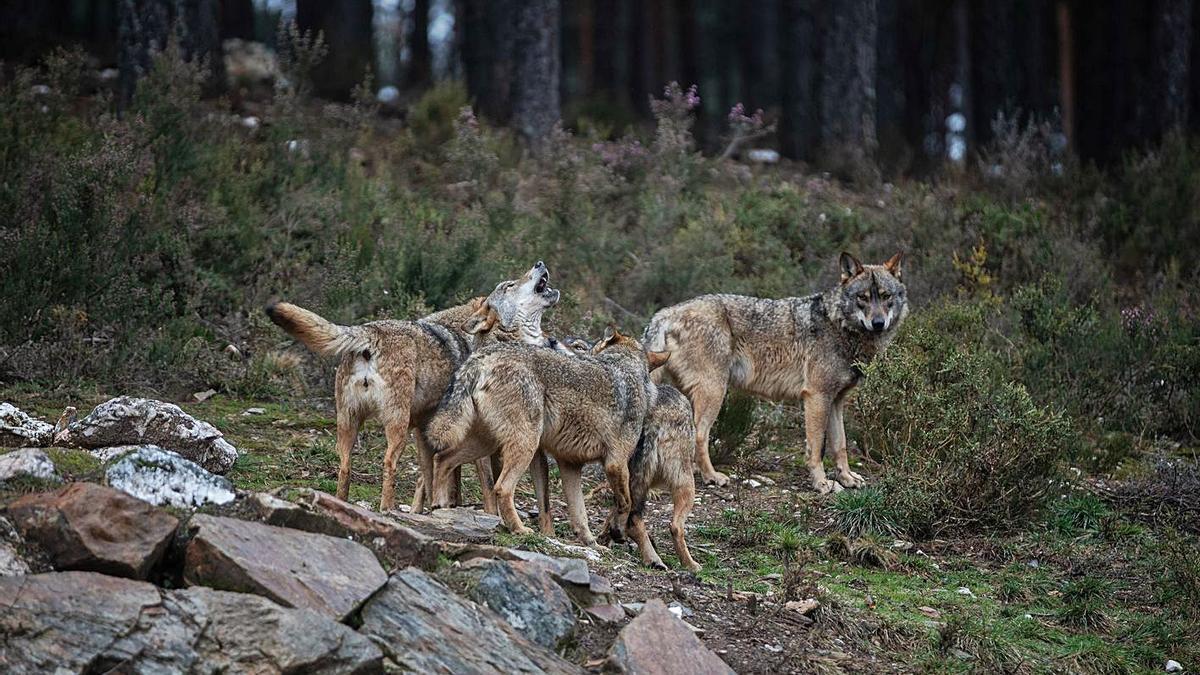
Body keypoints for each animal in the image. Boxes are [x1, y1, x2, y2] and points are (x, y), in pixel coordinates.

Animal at [265, 260, 559, 506]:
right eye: (510, 285)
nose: (540, 263)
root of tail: (369, 331)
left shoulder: (425, 431)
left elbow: (431, 479)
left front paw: (433, 507)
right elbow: (483, 485)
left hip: (349, 424)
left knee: (345, 467)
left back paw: (341, 503)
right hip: (397, 425)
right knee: (388, 463)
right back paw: (386, 508)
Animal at [422, 326, 672, 540]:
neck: (626, 367)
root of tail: (484, 356)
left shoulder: (570, 464)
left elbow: (580, 515)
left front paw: (592, 543)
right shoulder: (615, 464)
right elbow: (625, 503)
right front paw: (616, 532)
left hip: (485, 444)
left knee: (442, 459)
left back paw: (439, 508)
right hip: (524, 445)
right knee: (501, 488)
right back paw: (519, 529)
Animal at [648, 249, 907, 492]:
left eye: (886, 296)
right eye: (862, 298)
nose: (878, 323)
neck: (839, 325)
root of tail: (667, 312)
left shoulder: (836, 401)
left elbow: (840, 445)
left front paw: (847, 478)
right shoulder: (816, 397)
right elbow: (816, 448)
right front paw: (821, 483)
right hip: (715, 392)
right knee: (701, 435)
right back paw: (712, 476)